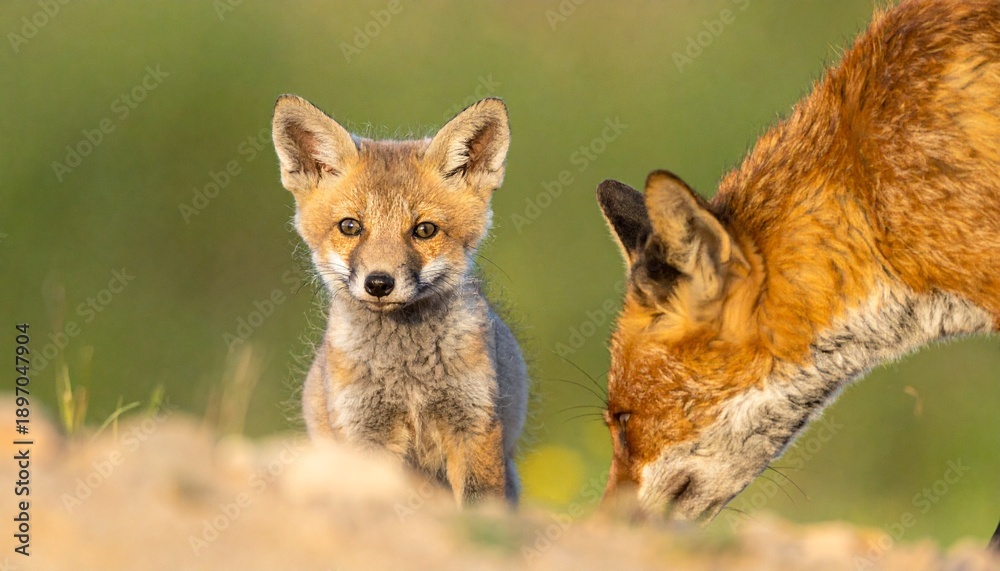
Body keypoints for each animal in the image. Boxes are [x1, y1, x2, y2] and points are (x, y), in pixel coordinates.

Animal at [271, 95, 528, 505]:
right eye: (350, 226)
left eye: (424, 230)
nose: (379, 283)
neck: (408, 376)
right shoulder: (364, 432)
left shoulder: (474, 422)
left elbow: (479, 501)